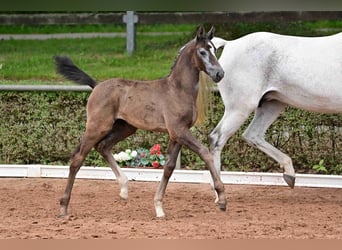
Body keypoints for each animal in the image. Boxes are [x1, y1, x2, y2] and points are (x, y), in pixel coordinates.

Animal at [208, 32, 342, 189]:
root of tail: (230, 43)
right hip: (240, 108)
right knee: (216, 139)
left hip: (271, 105)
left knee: (252, 134)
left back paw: (289, 175)